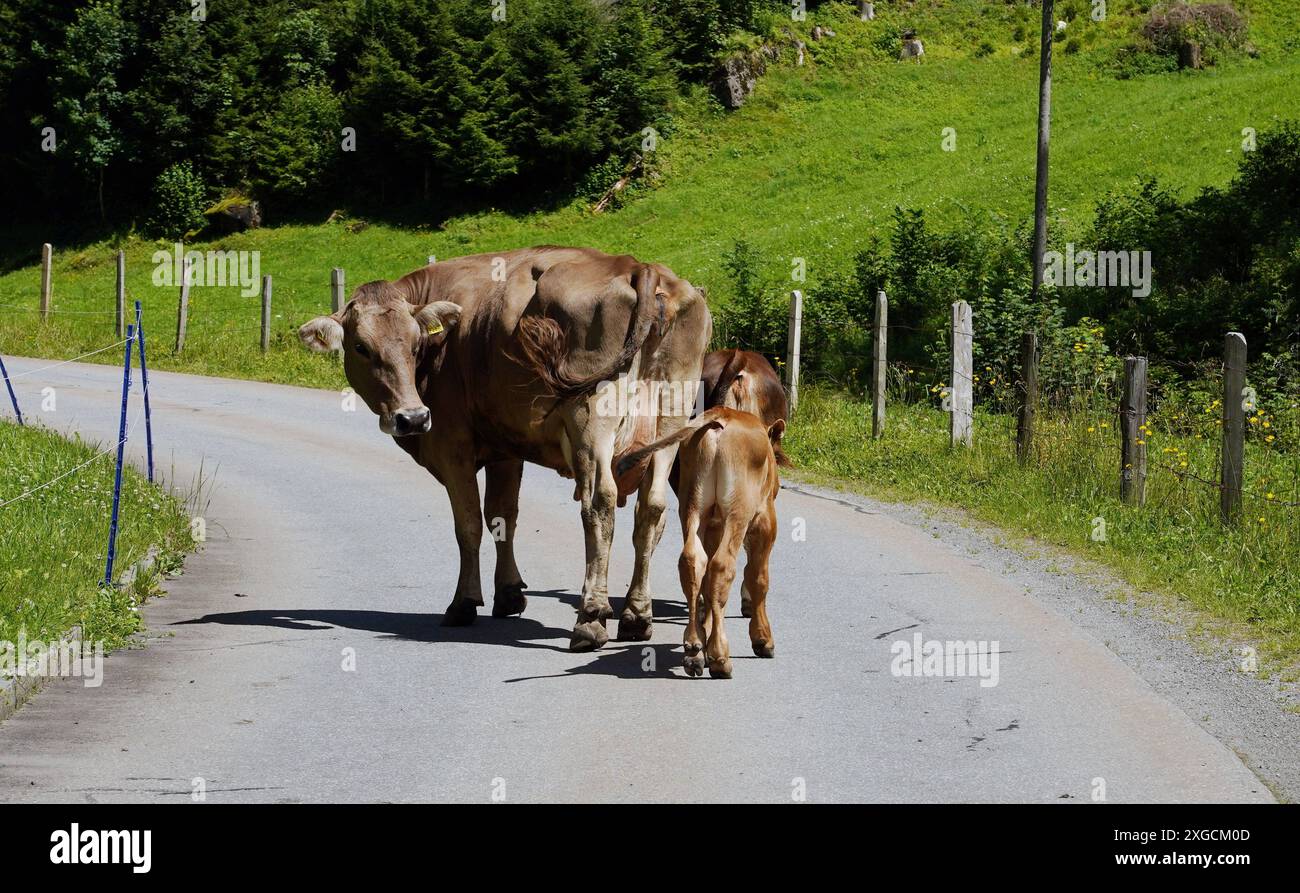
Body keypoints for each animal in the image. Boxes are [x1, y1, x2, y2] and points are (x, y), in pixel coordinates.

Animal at [298, 247, 711, 652]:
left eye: (416, 345)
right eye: (361, 347)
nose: (412, 418)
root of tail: (636, 265)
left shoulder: (452, 446)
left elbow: (468, 524)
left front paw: (464, 602)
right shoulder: (507, 450)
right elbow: (502, 518)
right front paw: (509, 594)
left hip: (591, 418)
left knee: (599, 504)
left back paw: (591, 617)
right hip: (671, 417)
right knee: (651, 508)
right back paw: (636, 615)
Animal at [617, 406, 784, 678]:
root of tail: (719, 418)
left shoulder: (713, 525)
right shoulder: (764, 520)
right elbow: (758, 578)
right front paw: (762, 639)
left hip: (693, 505)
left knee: (693, 562)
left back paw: (694, 649)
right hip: (738, 511)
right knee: (721, 566)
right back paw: (718, 656)